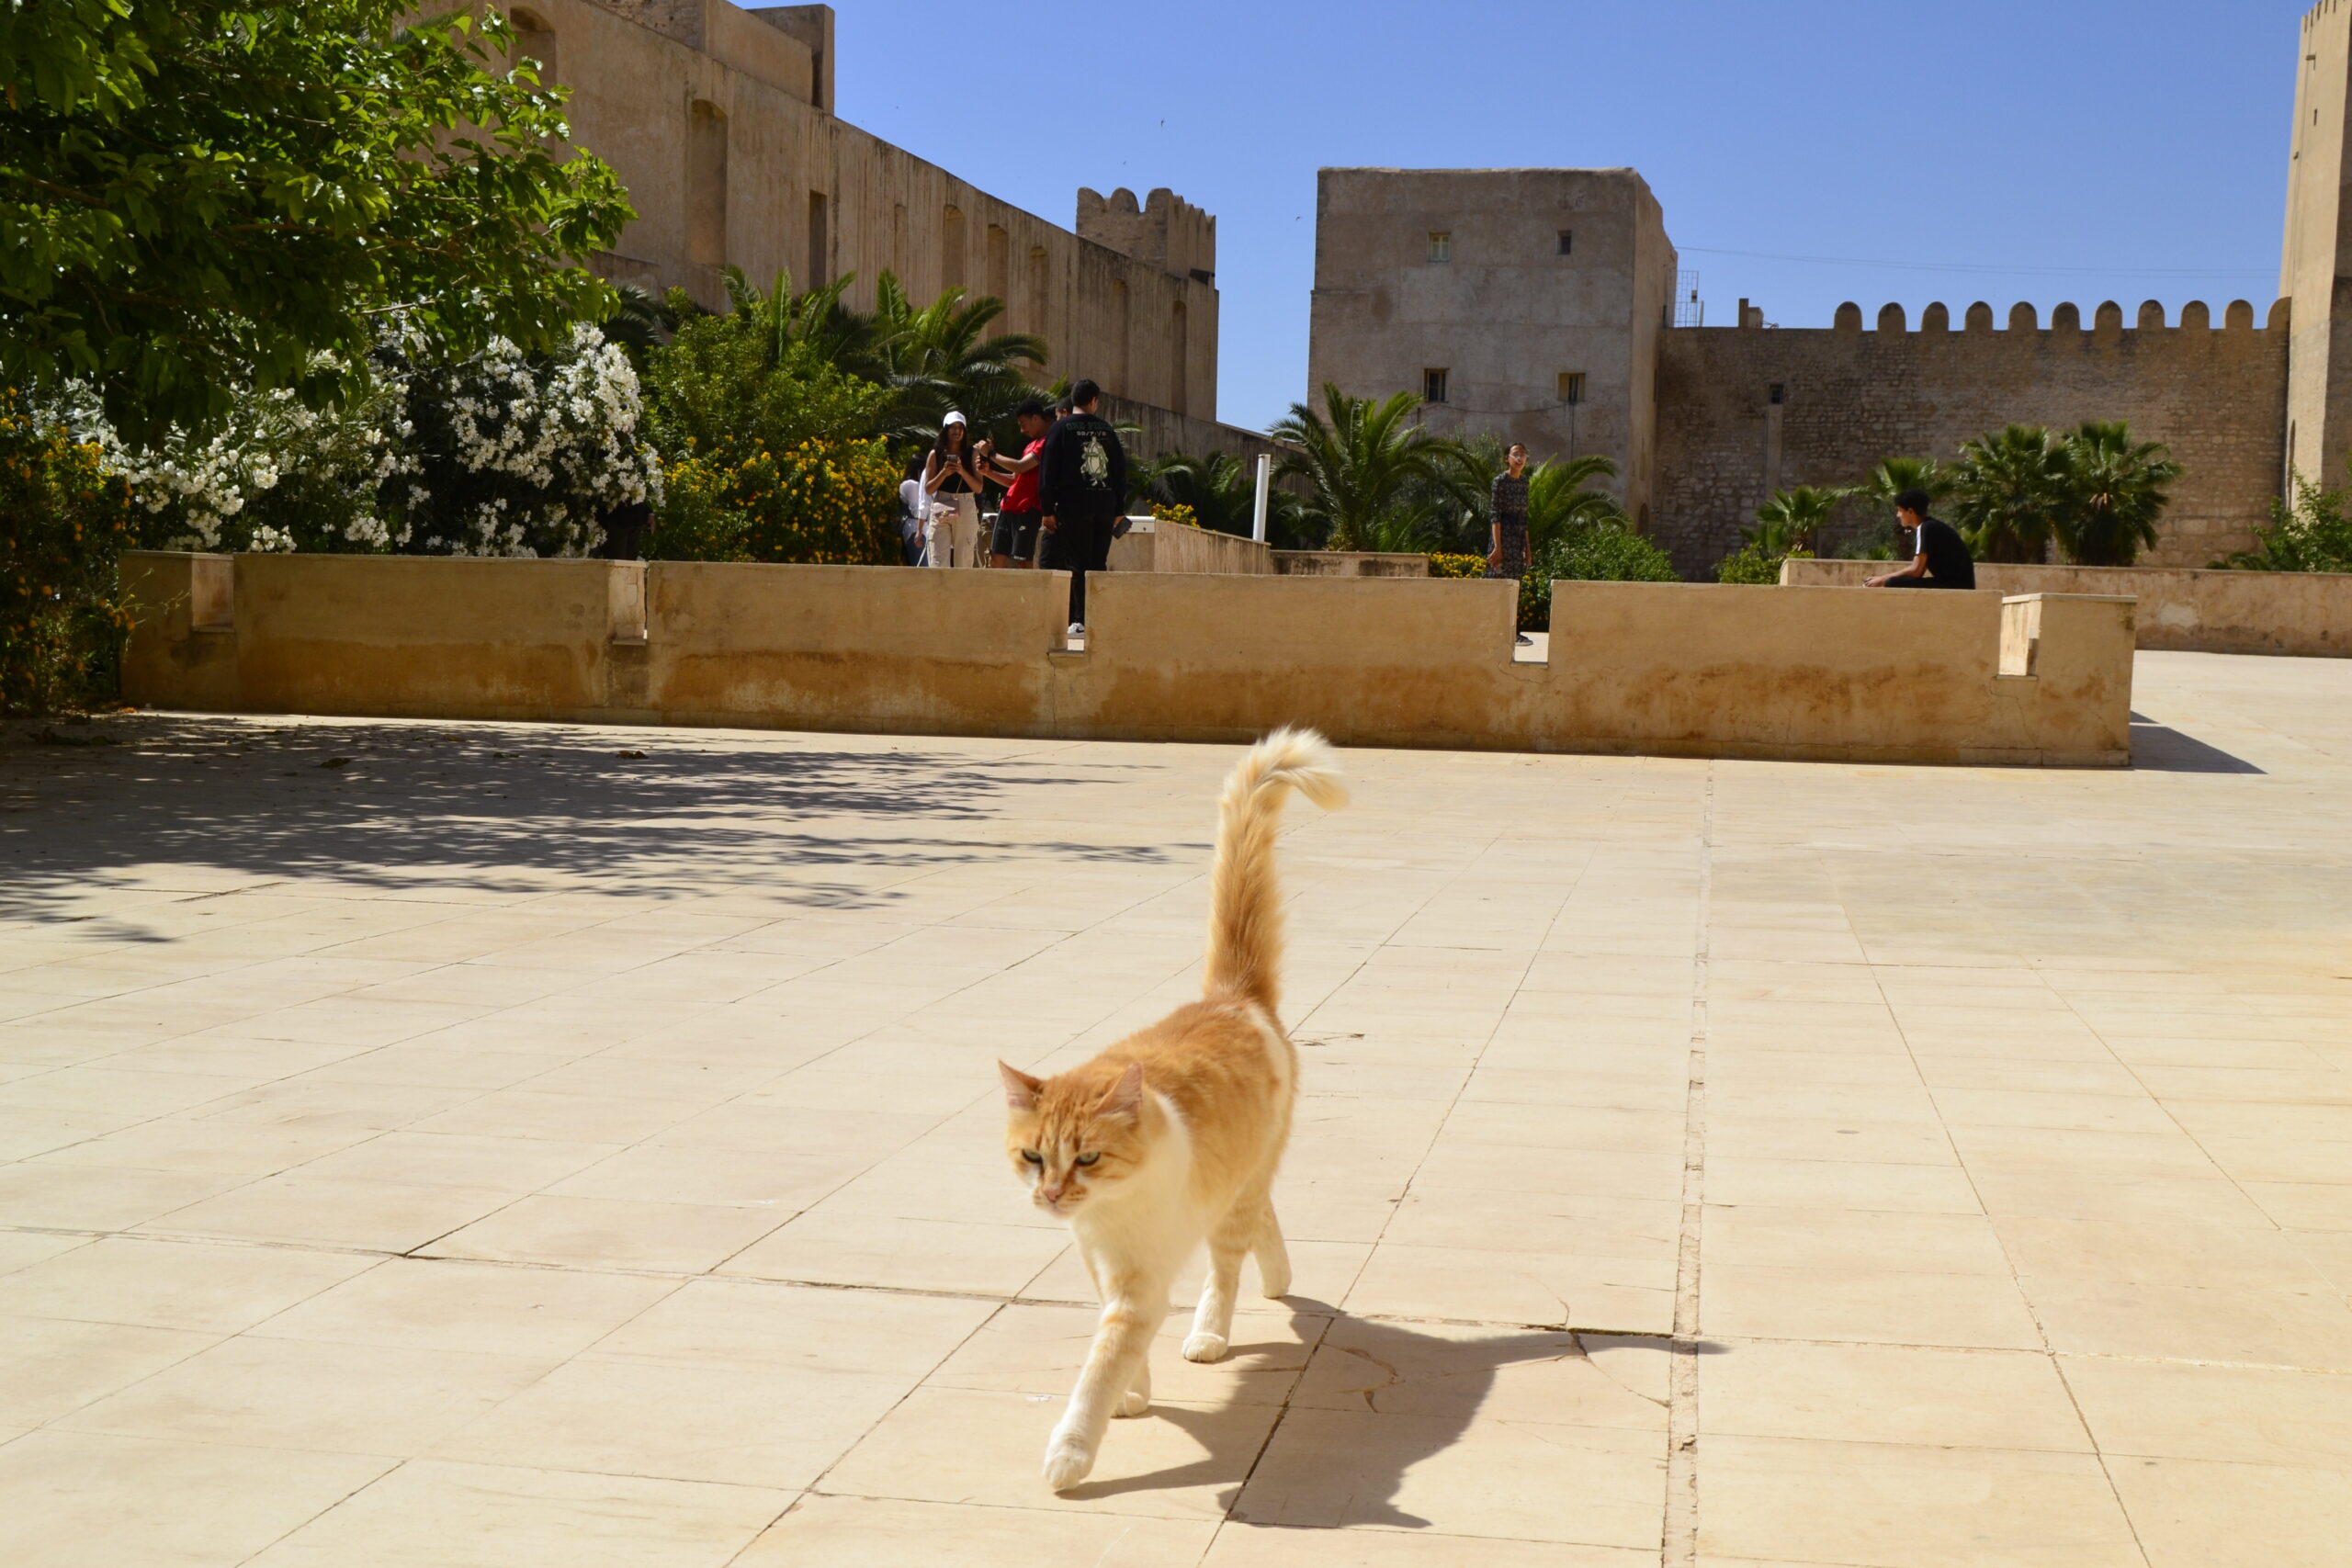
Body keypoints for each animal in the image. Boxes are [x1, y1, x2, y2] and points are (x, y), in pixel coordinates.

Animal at [1001, 728, 1354, 1495]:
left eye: (1089, 1156)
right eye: (1033, 1155)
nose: (1052, 1195)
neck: (1107, 1214)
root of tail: (1232, 999)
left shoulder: (1139, 1285)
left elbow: (1101, 1364)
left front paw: (1072, 1451)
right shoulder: (1101, 1266)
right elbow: (1122, 1355)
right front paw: (1135, 1394)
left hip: (1231, 1201)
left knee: (1227, 1264)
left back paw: (1211, 1333)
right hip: (1242, 1177)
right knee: (1260, 1217)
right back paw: (1279, 1278)